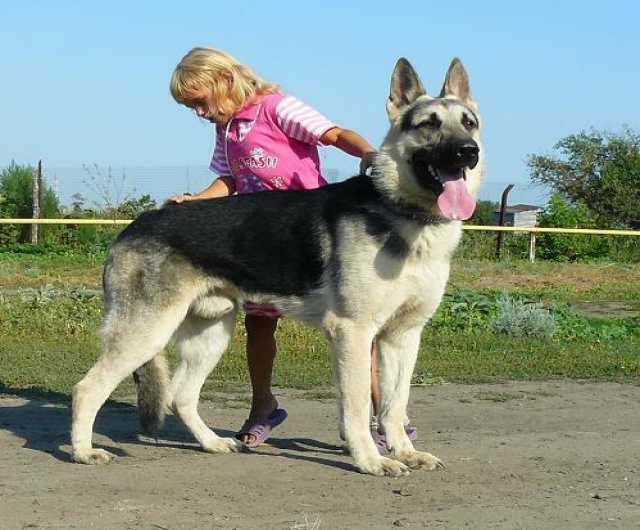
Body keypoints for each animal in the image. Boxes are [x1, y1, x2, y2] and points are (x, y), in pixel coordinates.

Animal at [72, 56, 482, 474]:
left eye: (469, 122)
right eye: (428, 124)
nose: (469, 152)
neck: (403, 212)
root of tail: (132, 226)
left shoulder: (402, 337)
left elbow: (394, 404)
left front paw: (403, 451)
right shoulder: (353, 333)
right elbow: (356, 407)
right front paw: (370, 460)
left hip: (212, 334)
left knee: (180, 396)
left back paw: (212, 443)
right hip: (148, 332)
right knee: (87, 389)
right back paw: (83, 451)